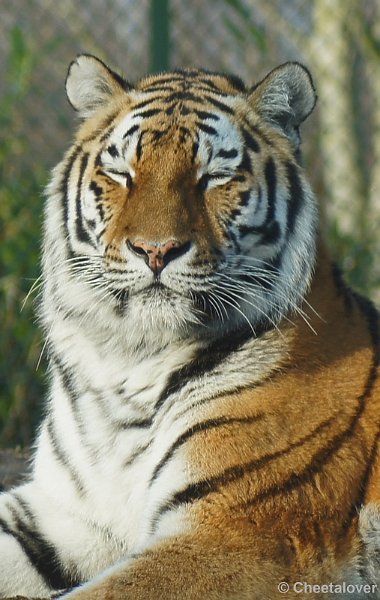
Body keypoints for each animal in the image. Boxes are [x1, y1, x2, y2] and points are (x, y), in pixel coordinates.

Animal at [0, 52, 380, 600]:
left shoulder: (237, 534)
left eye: (214, 176)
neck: (128, 361)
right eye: (123, 173)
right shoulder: (69, 514)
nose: (155, 250)